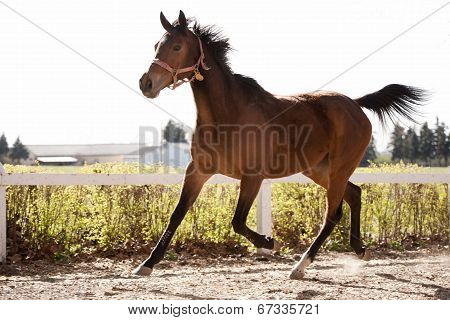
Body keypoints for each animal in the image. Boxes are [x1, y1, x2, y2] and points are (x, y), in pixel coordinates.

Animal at [134, 10, 426, 280]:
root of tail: (355, 103)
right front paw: (146, 264)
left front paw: (269, 242)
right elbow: (176, 215)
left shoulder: (253, 176)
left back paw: (300, 266)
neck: (228, 113)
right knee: (354, 194)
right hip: (320, 170)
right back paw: (360, 249)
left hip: (339, 169)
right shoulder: (197, 171)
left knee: (332, 214)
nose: (146, 83)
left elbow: (237, 221)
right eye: (156, 45)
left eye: (176, 46)